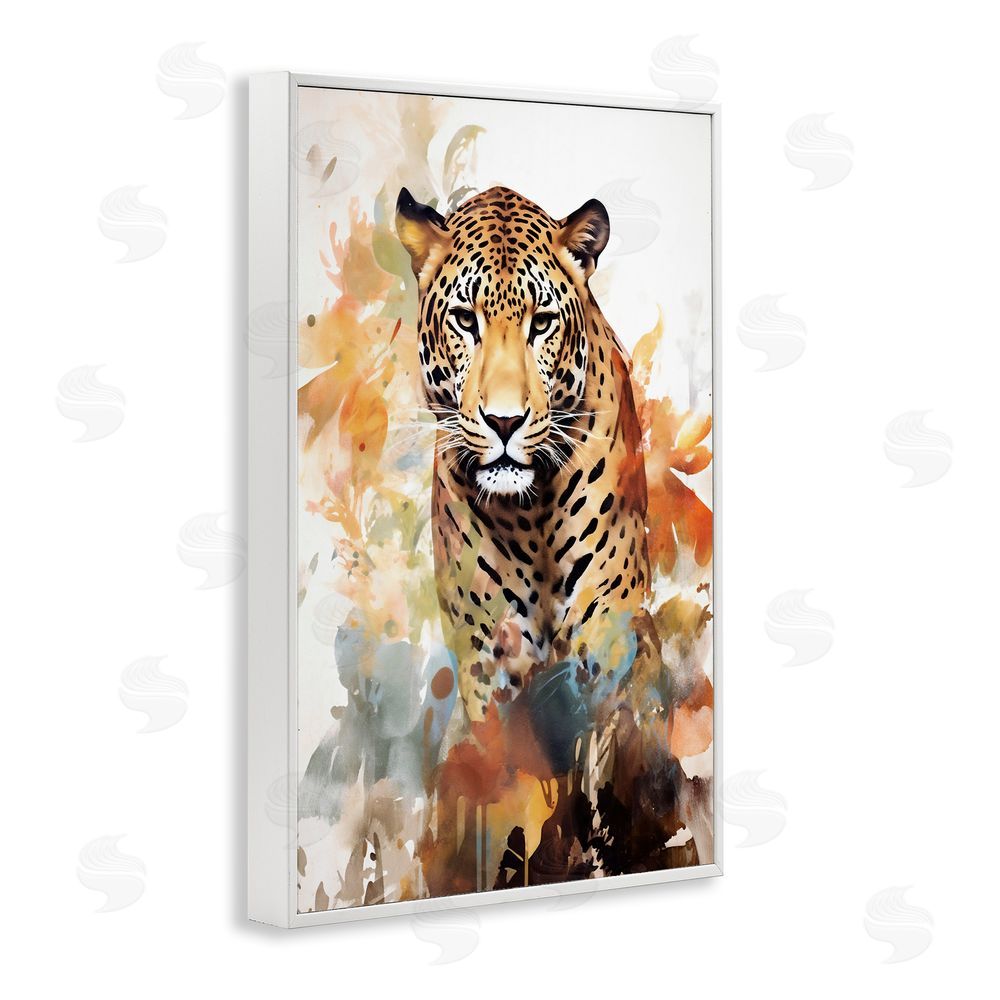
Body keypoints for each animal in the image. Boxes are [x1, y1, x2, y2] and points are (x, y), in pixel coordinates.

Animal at [396, 184, 655, 725]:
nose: (504, 421)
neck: (529, 515)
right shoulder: (486, 655)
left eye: (541, 323)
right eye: (465, 320)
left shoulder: (609, 631)